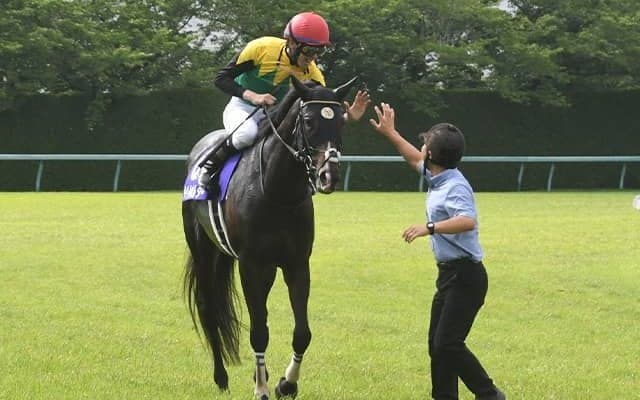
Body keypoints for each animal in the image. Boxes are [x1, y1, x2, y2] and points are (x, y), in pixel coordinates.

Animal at [181, 75, 358, 399]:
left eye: (341, 121)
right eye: (309, 121)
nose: (328, 175)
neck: (278, 190)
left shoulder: (296, 263)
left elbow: (302, 332)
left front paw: (286, 383)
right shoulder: (252, 265)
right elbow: (259, 331)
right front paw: (261, 388)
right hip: (203, 249)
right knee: (209, 307)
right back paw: (221, 377)